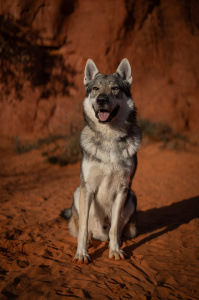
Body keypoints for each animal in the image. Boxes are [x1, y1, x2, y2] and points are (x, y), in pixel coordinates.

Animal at [62, 57, 141, 264]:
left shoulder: (123, 189)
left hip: (132, 197)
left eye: (115, 88)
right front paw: (82, 254)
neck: (109, 138)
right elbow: (83, 229)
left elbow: (114, 228)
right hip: (78, 192)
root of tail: (100, 236)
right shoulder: (88, 187)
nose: (101, 100)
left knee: (118, 230)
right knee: (85, 228)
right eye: (96, 89)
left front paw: (115, 250)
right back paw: (90, 240)